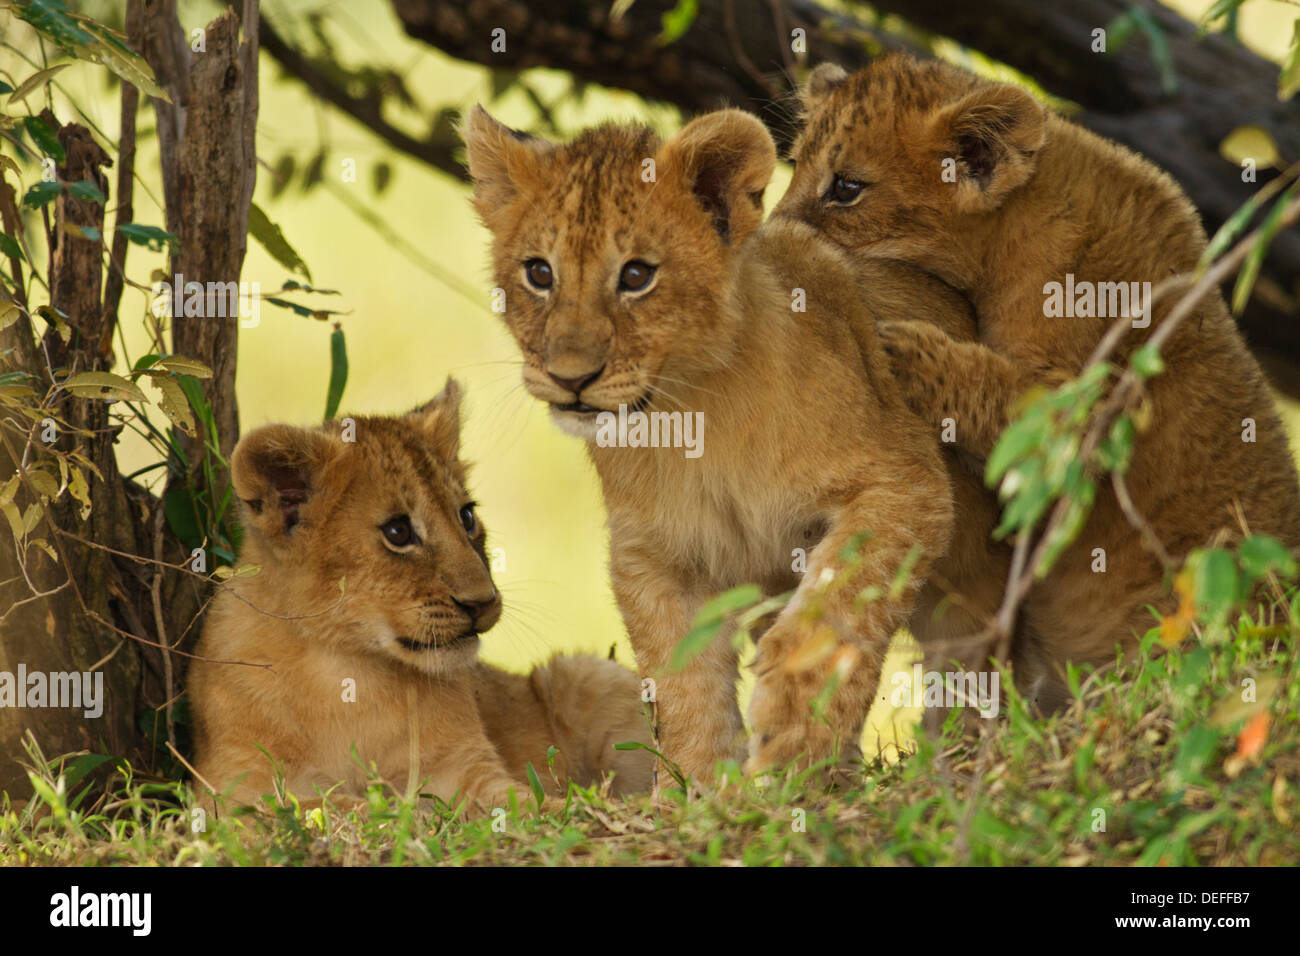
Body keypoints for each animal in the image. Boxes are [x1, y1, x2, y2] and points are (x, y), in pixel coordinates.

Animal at [187, 380, 653, 811]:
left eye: (467, 517)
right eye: (397, 532)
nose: (482, 603)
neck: (348, 670)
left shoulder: (465, 766)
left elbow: (525, 803)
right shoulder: (231, 785)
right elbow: (327, 805)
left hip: (584, 673)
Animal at [463, 106, 1015, 783]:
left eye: (637, 276)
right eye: (539, 273)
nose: (570, 378)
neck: (692, 420)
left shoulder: (903, 480)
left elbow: (839, 602)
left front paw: (793, 736)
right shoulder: (653, 552)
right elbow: (681, 681)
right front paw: (699, 789)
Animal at [773, 56, 1300, 707]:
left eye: (846, 187)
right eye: (795, 164)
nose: (769, 232)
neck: (1013, 227)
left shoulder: (1092, 414)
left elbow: (1008, 399)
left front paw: (906, 348)